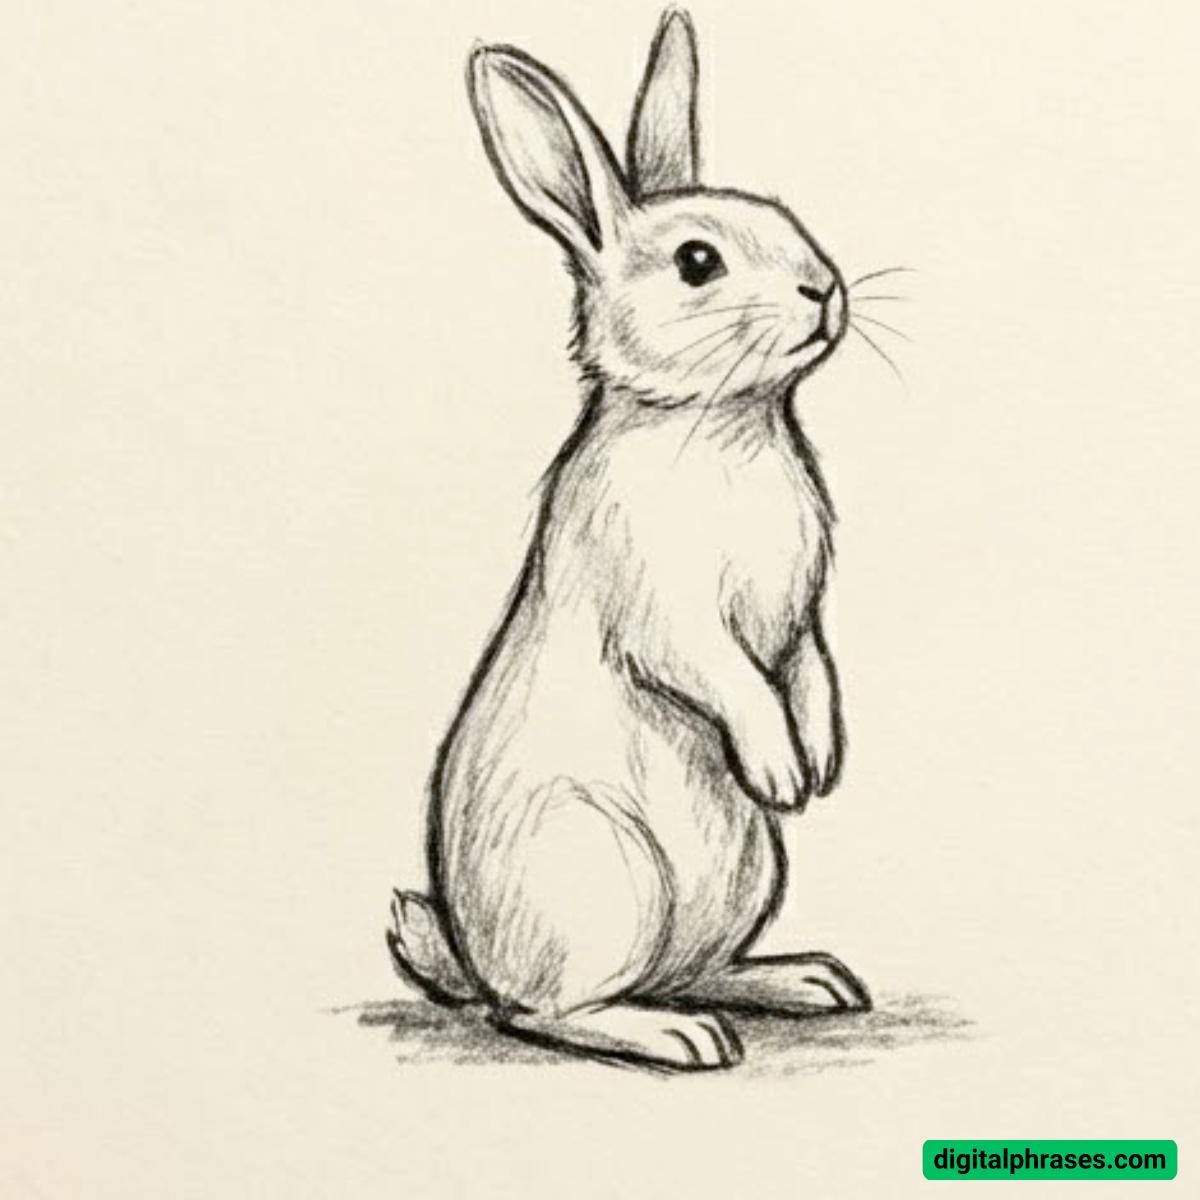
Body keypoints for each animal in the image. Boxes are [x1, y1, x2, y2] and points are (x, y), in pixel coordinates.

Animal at [388, 7, 871, 1070]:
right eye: (698, 262)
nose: (824, 289)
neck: (717, 420)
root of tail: (472, 957)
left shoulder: (802, 616)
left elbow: (810, 667)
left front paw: (820, 762)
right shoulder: (667, 611)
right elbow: (726, 676)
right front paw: (783, 767)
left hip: (742, 877)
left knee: (691, 966)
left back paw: (805, 980)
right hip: (601, 875)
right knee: (544, 1011)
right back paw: (679, 1036)